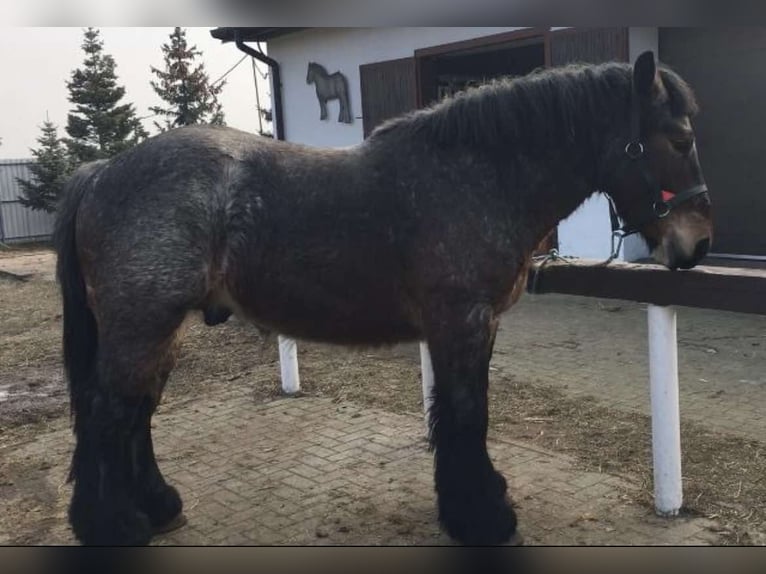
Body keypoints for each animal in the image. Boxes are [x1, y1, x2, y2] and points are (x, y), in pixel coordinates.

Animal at [54, 51, 712, 548]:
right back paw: (110, 525)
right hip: (142, 325)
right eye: (679, 140)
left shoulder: (476, 327)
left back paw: (158, 506)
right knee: (107, 413)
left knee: (135, 412)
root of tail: (102, 171)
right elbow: (467, 413)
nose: (699, 243)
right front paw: (483, 519)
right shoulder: (461, 321)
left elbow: (458, 413)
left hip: (161, 329)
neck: (479, 175)